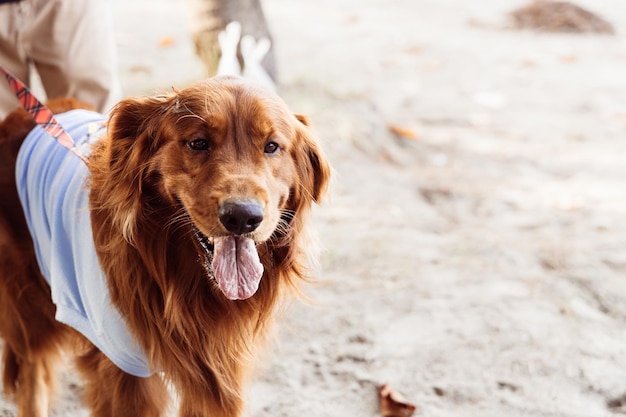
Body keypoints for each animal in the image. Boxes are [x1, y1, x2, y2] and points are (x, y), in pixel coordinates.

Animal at [0, 76, 330, 414]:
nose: (242, 217)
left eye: (272, 146)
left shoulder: (217, 371)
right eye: (198, 143)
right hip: (29, 309)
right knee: (32, 374)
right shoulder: (124, 371)